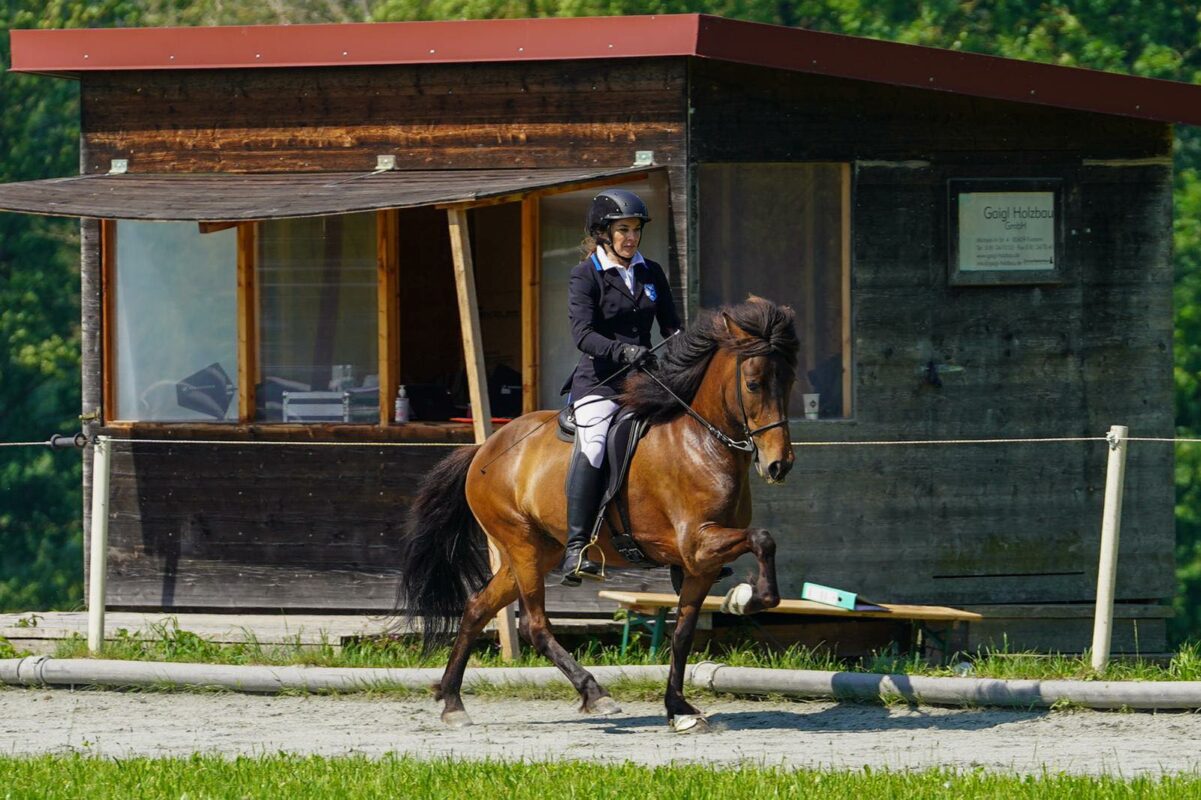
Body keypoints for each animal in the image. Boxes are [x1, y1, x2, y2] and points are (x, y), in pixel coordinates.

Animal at [398, 294, 802, 730]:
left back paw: (452, 701)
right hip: (522, 544)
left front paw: (679, 709)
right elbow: (763, 538)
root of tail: (483, 450)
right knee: (535, 625)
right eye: (753, 384)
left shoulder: (700, 565)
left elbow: (682, 634)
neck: (703, 443)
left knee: (476, 608)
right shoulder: (697, 543)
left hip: (538, 551)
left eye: (790, 381)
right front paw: (745, 599)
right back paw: (595, 694)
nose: (779, 465)